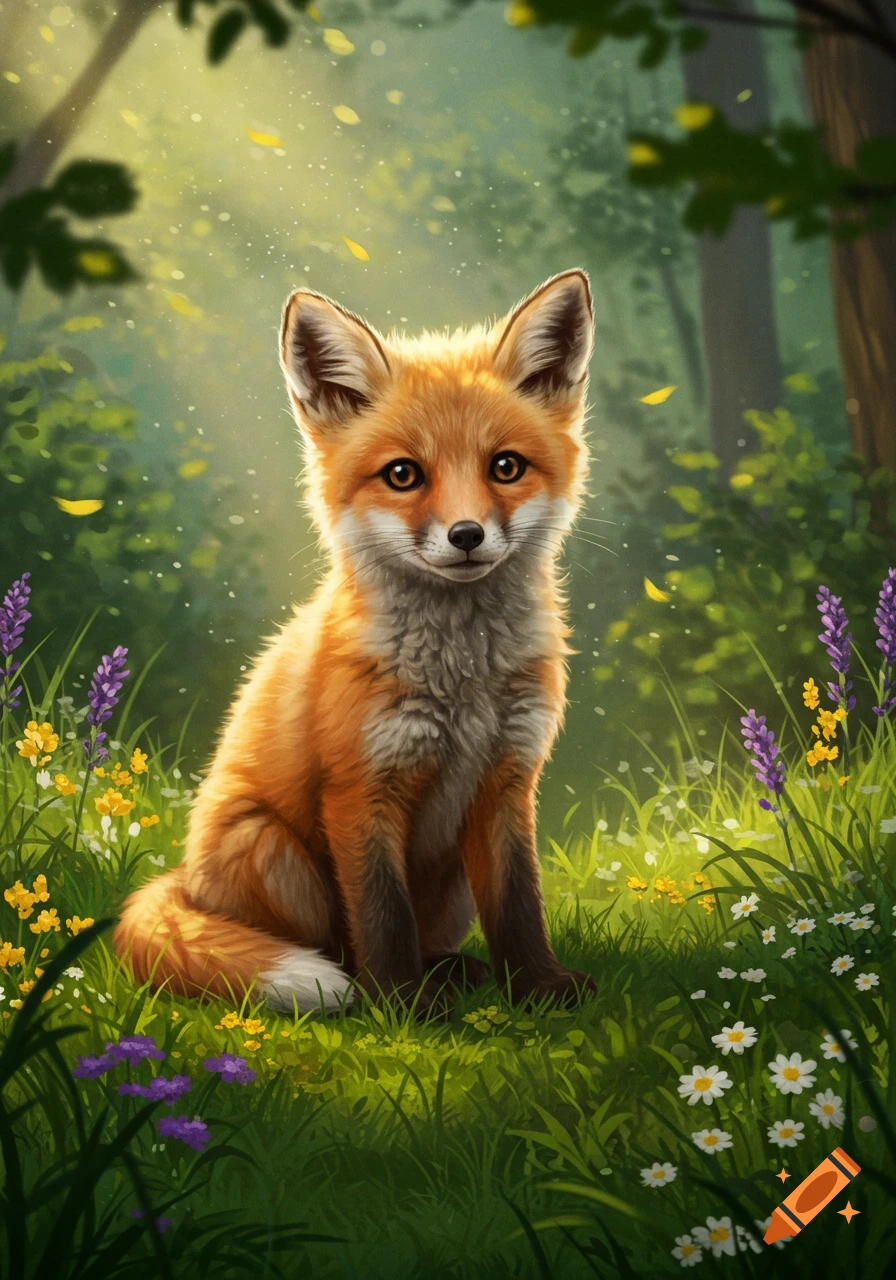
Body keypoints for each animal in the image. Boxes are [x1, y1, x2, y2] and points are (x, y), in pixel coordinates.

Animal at [114, 269, 598, 1014]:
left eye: (506, 467)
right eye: (403, 474)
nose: (466, 535)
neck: (462, 684)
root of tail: (184, 881)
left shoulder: (508, 784)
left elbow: (520, 905)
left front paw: (539, 987)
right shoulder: (358, 791)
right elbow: (381, 913)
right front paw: (401, 1007)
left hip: (452, 881)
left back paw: (452, 972)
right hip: (271, 848)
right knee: (333, 945)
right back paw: (375, 989)